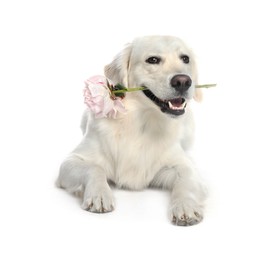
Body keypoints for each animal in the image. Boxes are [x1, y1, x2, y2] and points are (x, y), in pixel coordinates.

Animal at [56, 35, 206, 225]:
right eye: (153, 60)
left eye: (185, 58)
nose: (183, 81)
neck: (140, 123)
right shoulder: (71, 161)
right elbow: (94, 168)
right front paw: (99, 194)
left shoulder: (182, 164)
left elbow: (185, 179)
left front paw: (186, 206)